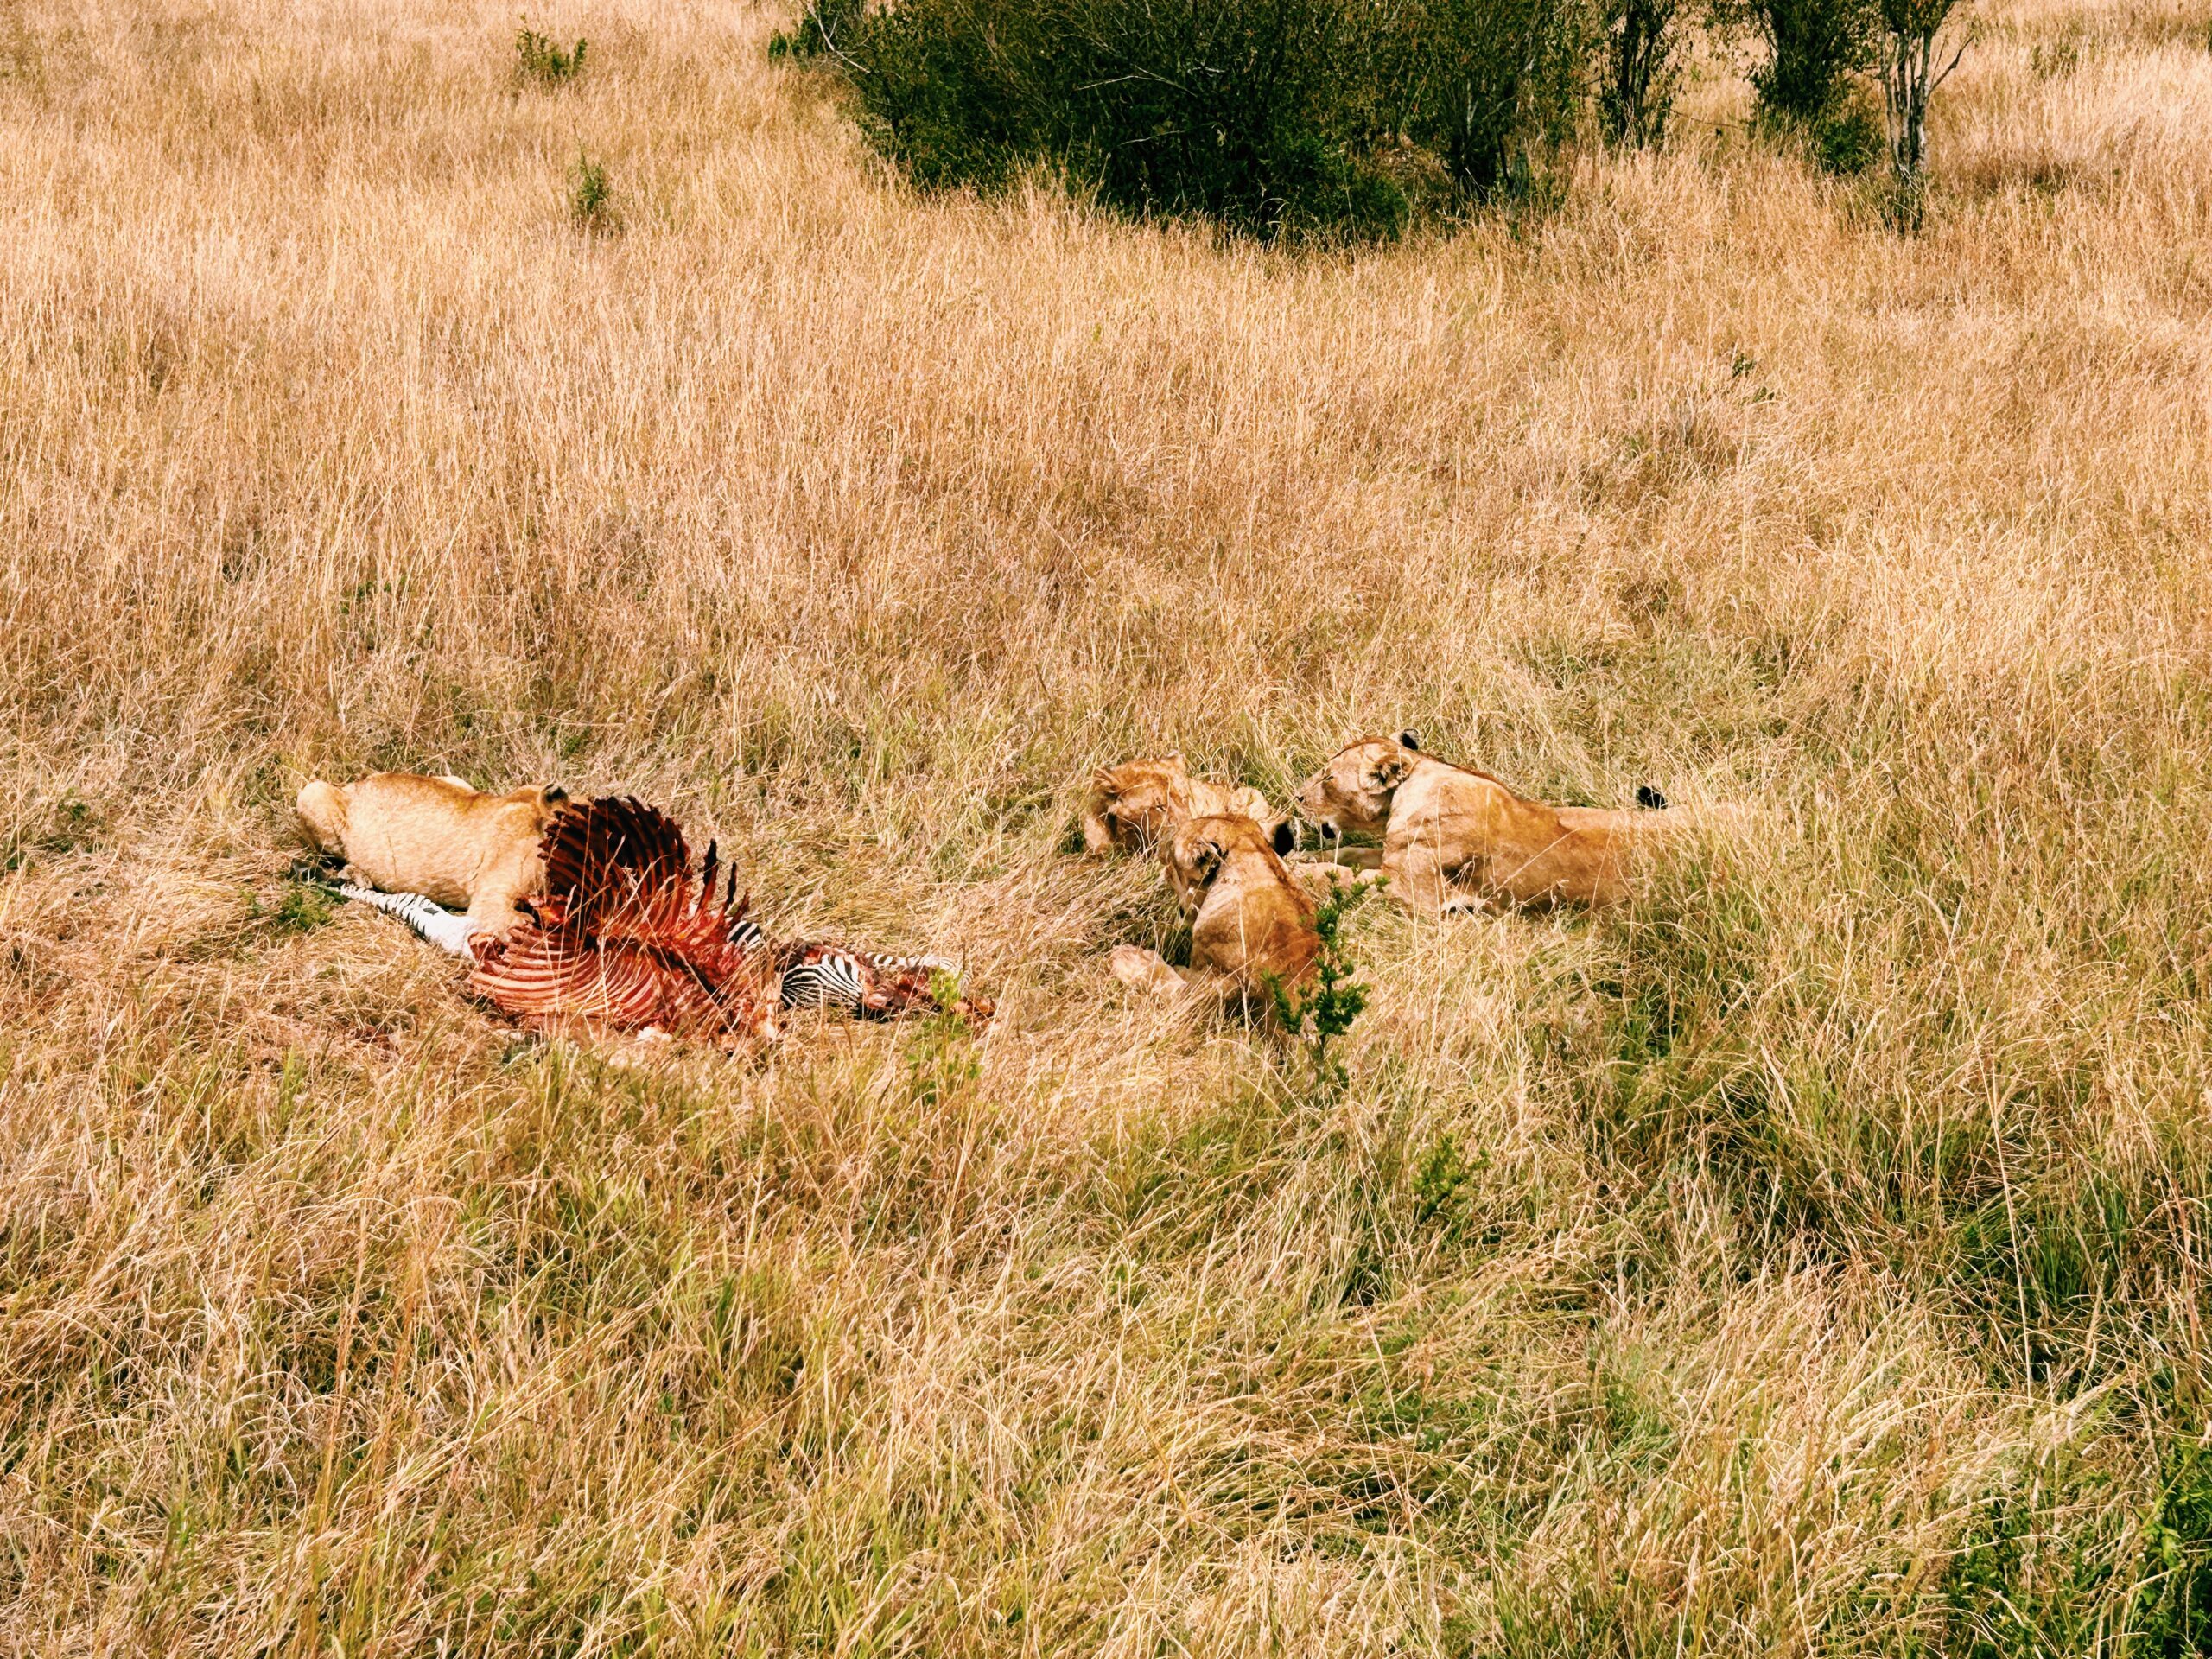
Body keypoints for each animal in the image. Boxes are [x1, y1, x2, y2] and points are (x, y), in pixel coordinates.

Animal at [1292, 734, 1707, 915]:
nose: (1296, 798)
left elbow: (1341, 878)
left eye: (1328, 778)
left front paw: (1294, 872)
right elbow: (1346, 853)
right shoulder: (1392, 855)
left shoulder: (1411, 890)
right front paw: (1301, 858)